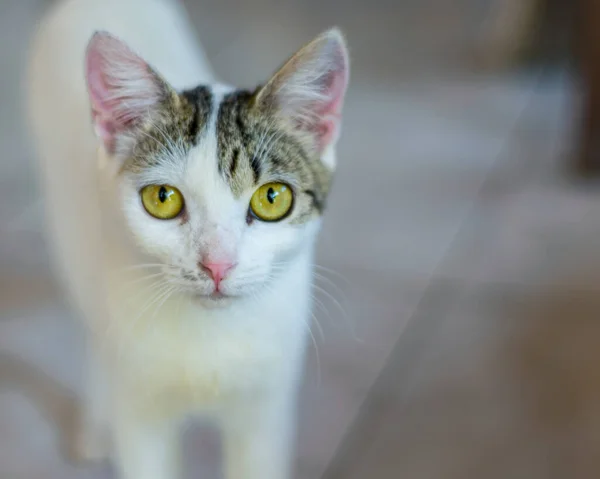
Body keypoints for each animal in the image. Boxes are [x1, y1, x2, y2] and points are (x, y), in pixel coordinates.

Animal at [25, 0, 350, 479]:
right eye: (163, 198)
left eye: (272, 197)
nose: (218, 265)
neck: (208, 340)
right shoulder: (141, 413)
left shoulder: (265, 409)